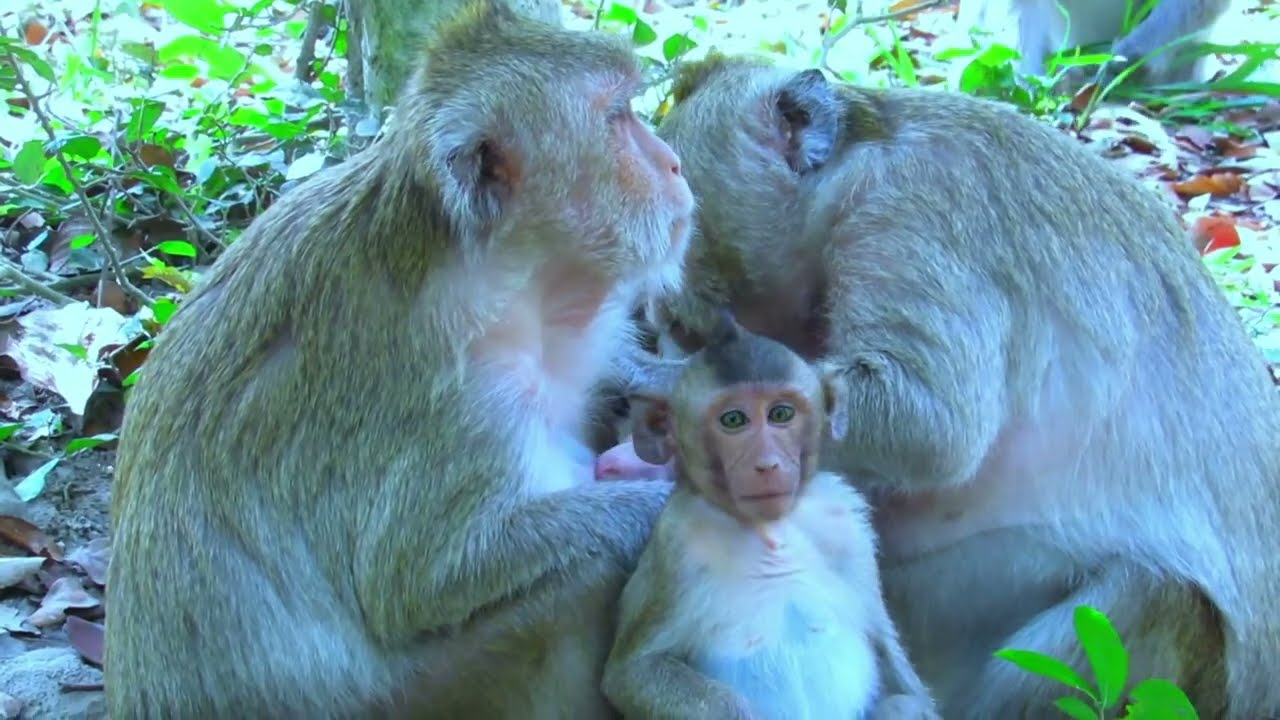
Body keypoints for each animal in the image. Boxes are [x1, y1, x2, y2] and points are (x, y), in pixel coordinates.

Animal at [102, 2, 696, 718]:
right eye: (617, 118)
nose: (674, 164)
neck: (502, 279)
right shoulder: (462, 402)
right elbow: (422, 580)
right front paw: (671, 504)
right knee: (586, 575)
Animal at [601, 312, 939, 720]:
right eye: (733, 420)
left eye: (781, 414)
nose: (768, 464)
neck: (772, 531)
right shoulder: (675, 545)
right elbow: (634, 672)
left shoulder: (847, 525)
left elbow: (890, 657)